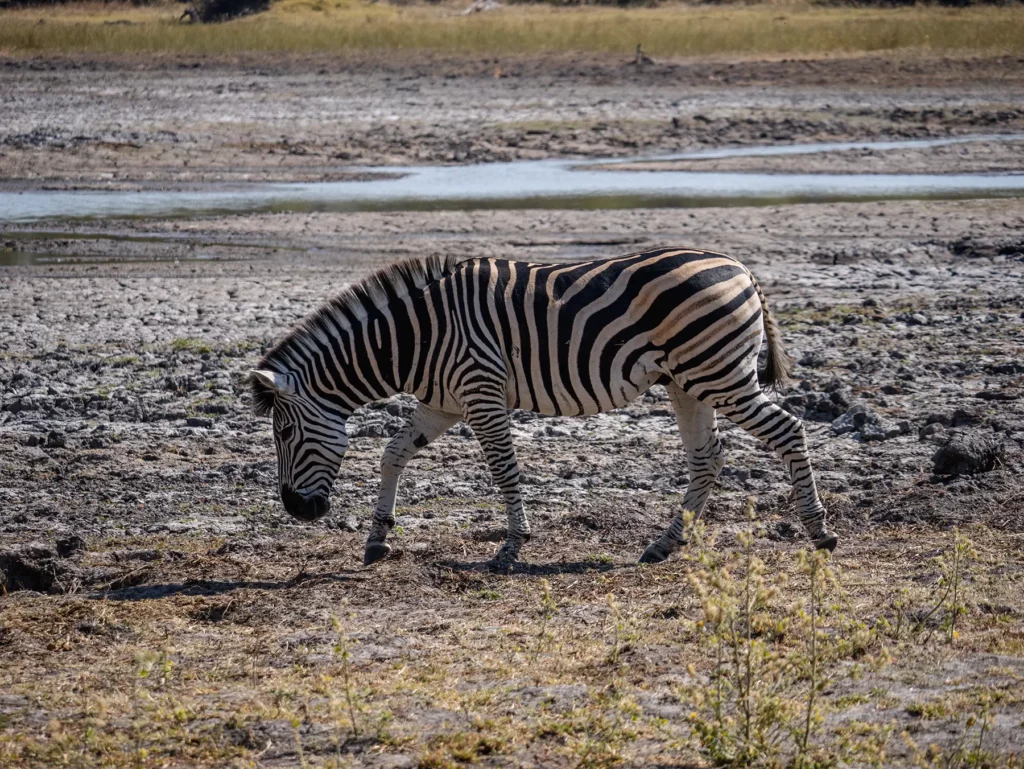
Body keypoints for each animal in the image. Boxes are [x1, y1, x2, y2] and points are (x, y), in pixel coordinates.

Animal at [250, 248, 839, 569]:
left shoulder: (481, 392)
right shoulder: (443, 402)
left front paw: (512, 548)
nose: (297, 511)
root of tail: (739, 267)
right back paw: (663, 545)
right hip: (688, 381)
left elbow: (504, 470)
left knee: (789, 431)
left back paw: (820, 532)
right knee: (708, 457)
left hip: (718, 373)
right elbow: (393, 453)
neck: (415, 338)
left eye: (284, 434)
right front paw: (377, 539)